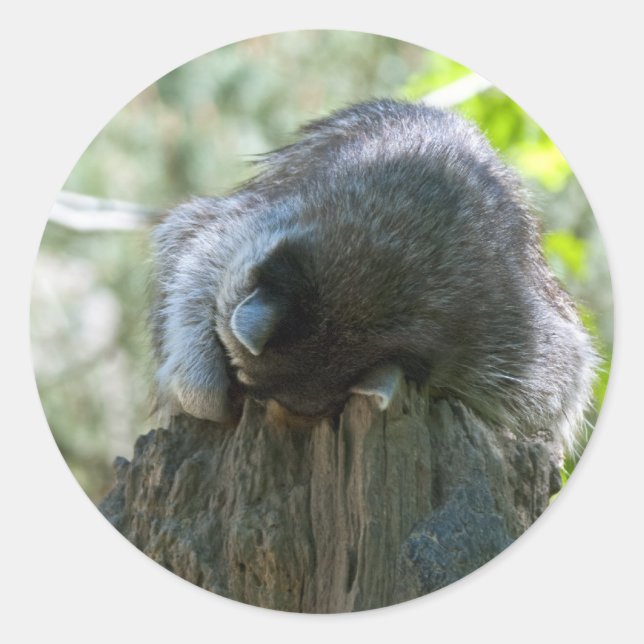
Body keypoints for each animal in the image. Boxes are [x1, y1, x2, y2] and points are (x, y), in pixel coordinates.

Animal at [151, 99, 596, 451]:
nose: (242, 402)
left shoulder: (511, 332)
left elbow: (556, 391)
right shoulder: (268, 213)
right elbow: (195, 249)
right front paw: (198, 378)